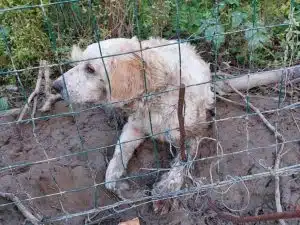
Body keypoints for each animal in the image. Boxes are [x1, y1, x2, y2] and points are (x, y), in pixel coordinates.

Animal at [52, 36, 214, 213]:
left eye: (90, 69)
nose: (55, 86)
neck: (155, 94)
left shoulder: (192, 134)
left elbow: (180, 166)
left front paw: (164, 192)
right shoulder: (134, 126)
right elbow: (118, 156)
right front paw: (118, 183)